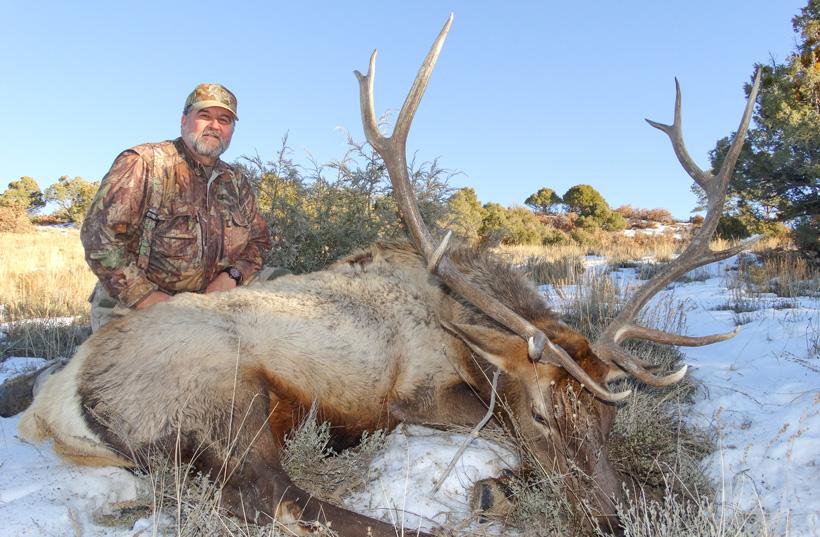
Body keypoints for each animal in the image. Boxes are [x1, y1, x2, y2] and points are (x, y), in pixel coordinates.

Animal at [18, 14, 760, 537]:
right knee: (268, 494)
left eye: (607, 417)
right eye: (543, 412)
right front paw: (502, 483)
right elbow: (490, 423)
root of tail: (55, 401)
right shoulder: (416, 395)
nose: (608, 518)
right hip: (219, 392)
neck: (454, 316)